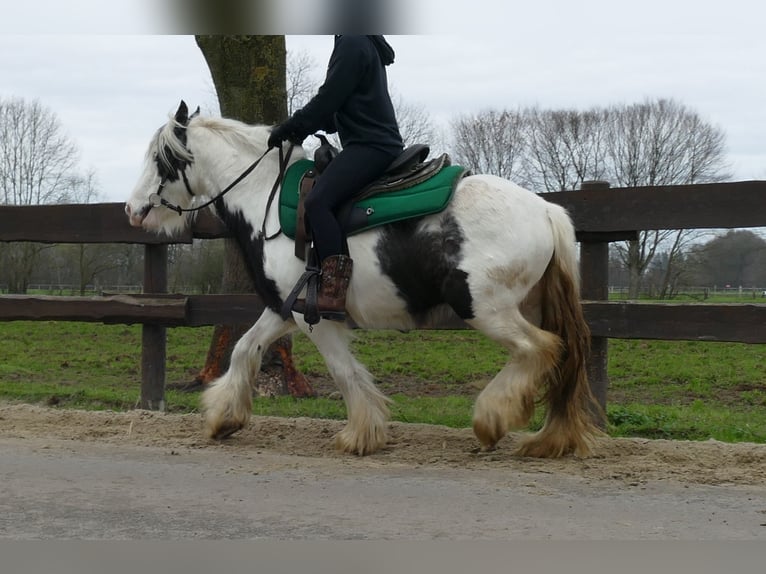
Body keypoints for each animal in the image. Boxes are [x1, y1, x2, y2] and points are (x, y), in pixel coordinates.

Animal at [126, 100, 604, 460]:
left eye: (161, 159)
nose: (133, 210)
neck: (266, 197)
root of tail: (547, 210)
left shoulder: (316, 317)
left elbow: (343, 371)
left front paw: (361, 434)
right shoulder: (286, 308)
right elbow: (245, 350)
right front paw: (223, 417)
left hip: (487, 309)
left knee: (539, 349)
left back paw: (491, 420)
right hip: (525, 305)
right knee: (558, 357)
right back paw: (550, 438)